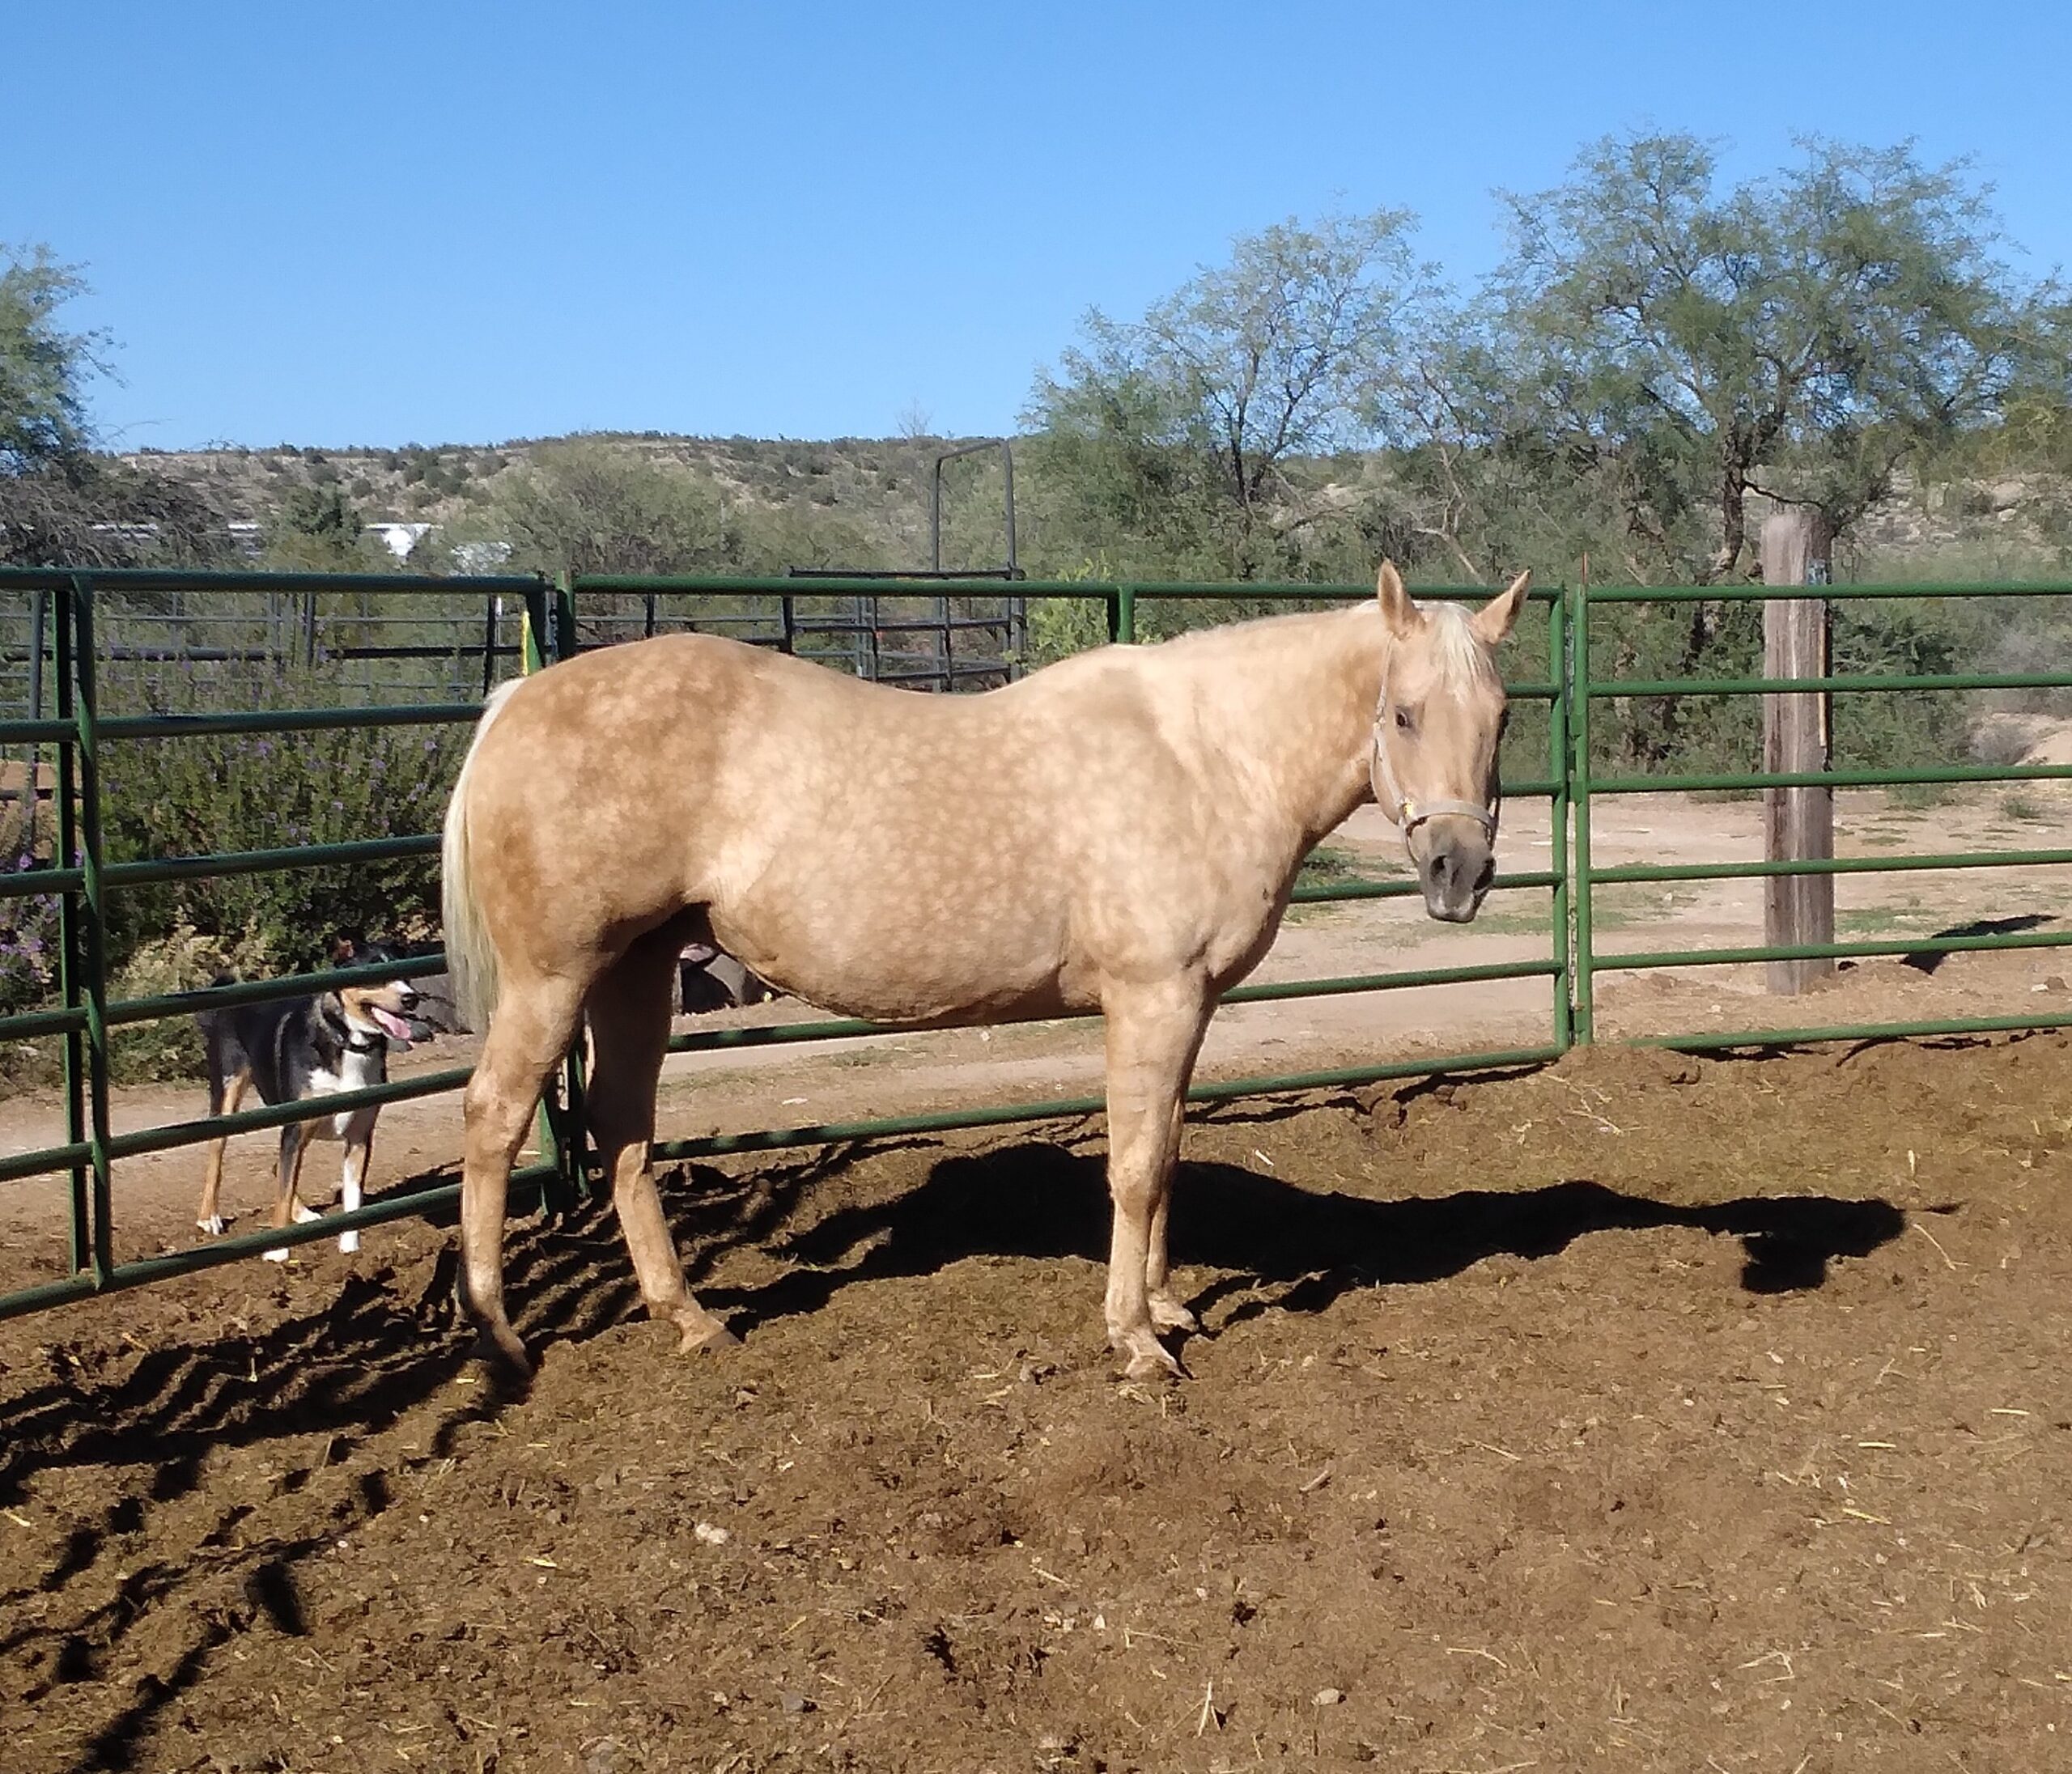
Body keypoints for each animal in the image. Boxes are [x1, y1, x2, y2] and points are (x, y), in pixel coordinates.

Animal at [441, 561, 1529, 1382]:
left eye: (1503, 716)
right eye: (1402, 714)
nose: (1459, 872)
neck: (1206, 756)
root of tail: (519, 698)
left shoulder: (1190, 1006)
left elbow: (1168, 1153)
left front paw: (1168, 1304)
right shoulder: (1153, 999)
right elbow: (1135, 1167)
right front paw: (1135, 1340)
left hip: (637, 967)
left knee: (623, 1127)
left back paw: (690, 1317)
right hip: (554, 976)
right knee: (495, 1119)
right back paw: (500, 1339)